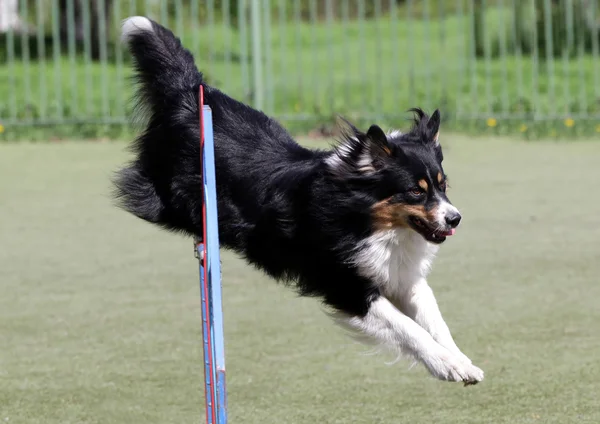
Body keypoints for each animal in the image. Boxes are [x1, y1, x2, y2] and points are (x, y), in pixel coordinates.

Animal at [116, 16, 482, 386]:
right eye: (416, 191)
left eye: (442, 186)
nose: (455, 218)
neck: (366, 220)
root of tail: (189, 91)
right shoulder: (345, 284)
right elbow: (408, 328)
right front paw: (446, 365)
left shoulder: (401, 276)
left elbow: (435, 321)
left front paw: (462, 361)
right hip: (173, 197)